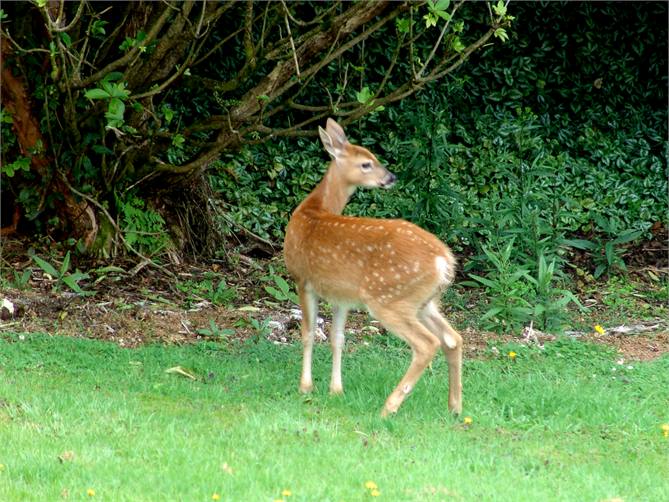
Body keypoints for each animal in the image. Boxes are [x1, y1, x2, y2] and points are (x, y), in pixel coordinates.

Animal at [283, 118, 462, 417]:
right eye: (367, 163)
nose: (391, 177)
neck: (313, 209)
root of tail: (443, 260)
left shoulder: (303, 279)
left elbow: (308, 334)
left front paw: (305, 387)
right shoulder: (341, 295)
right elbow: (338, 337)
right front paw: (336, 390)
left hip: (387, 298)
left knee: (427, 343)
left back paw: (389, 407)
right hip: (423, 301)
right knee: (453, 338)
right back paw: (455, 407)